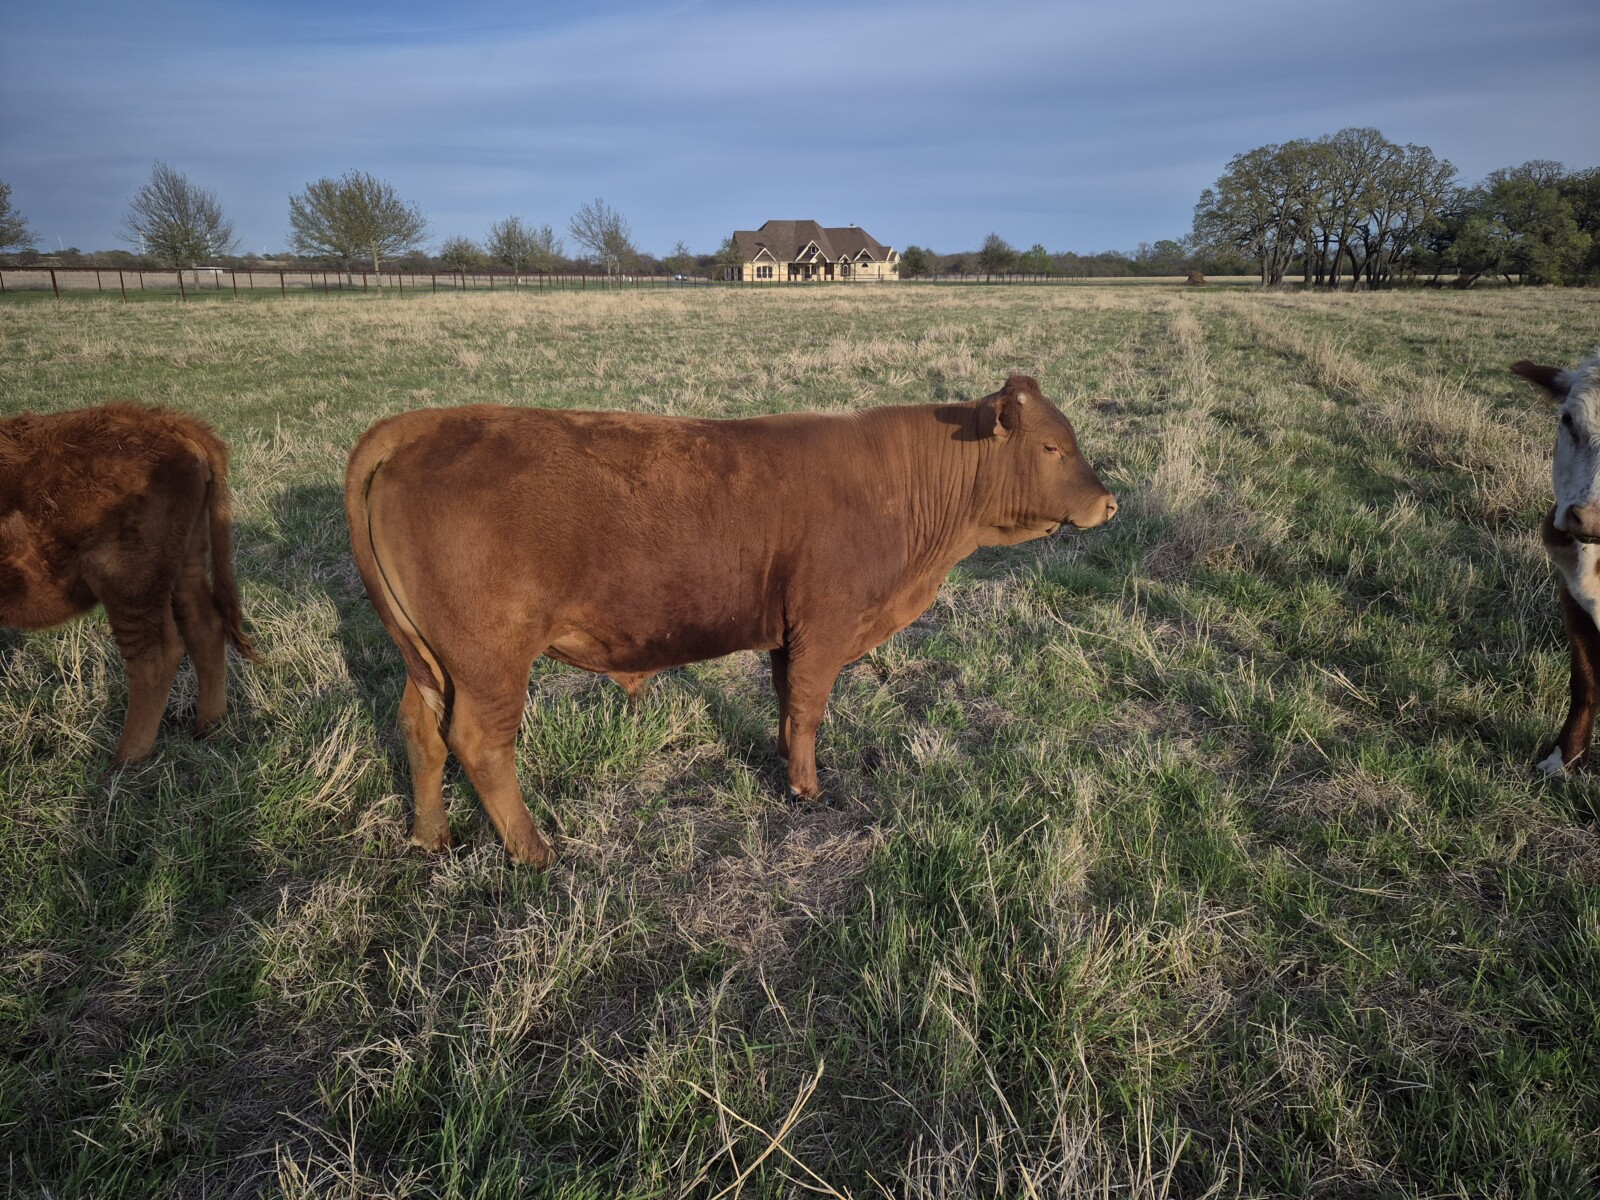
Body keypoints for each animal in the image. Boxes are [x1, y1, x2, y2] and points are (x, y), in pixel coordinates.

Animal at [0, 404, 257, 765]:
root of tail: (161, 418)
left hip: (127, 582)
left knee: (154, 658)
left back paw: (126, 760)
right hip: (186, 561)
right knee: (204, 625)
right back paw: (209, 726)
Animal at [345, 375, 1118, 866]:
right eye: (1051, 447)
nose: (1108, 503)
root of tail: (417, 424)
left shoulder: (788, 631)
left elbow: (784, 701)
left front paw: (781, 762)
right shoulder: (825, 625)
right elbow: (808, 705)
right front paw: (807, 790)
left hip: (433, 659)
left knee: (420, 728)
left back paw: (432, 837)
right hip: (490, 660)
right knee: (478, 743)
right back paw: (535, 852)